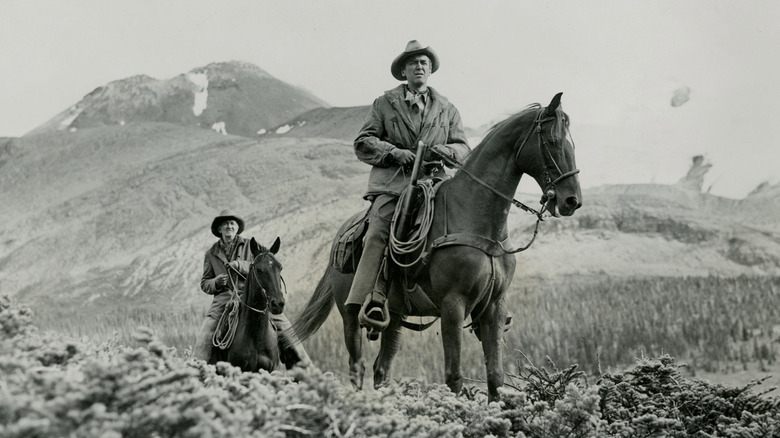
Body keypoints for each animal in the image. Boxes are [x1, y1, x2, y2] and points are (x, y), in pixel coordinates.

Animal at [290, 94, 580, 402]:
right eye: (553, 141)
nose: (572, 201)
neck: (476, 219)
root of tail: (339, 236)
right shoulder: (453, 305)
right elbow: (453, 376)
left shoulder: (494, 306)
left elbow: (495, 376)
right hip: (350, 316)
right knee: (357, 367)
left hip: (395, 316)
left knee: (382, 369)